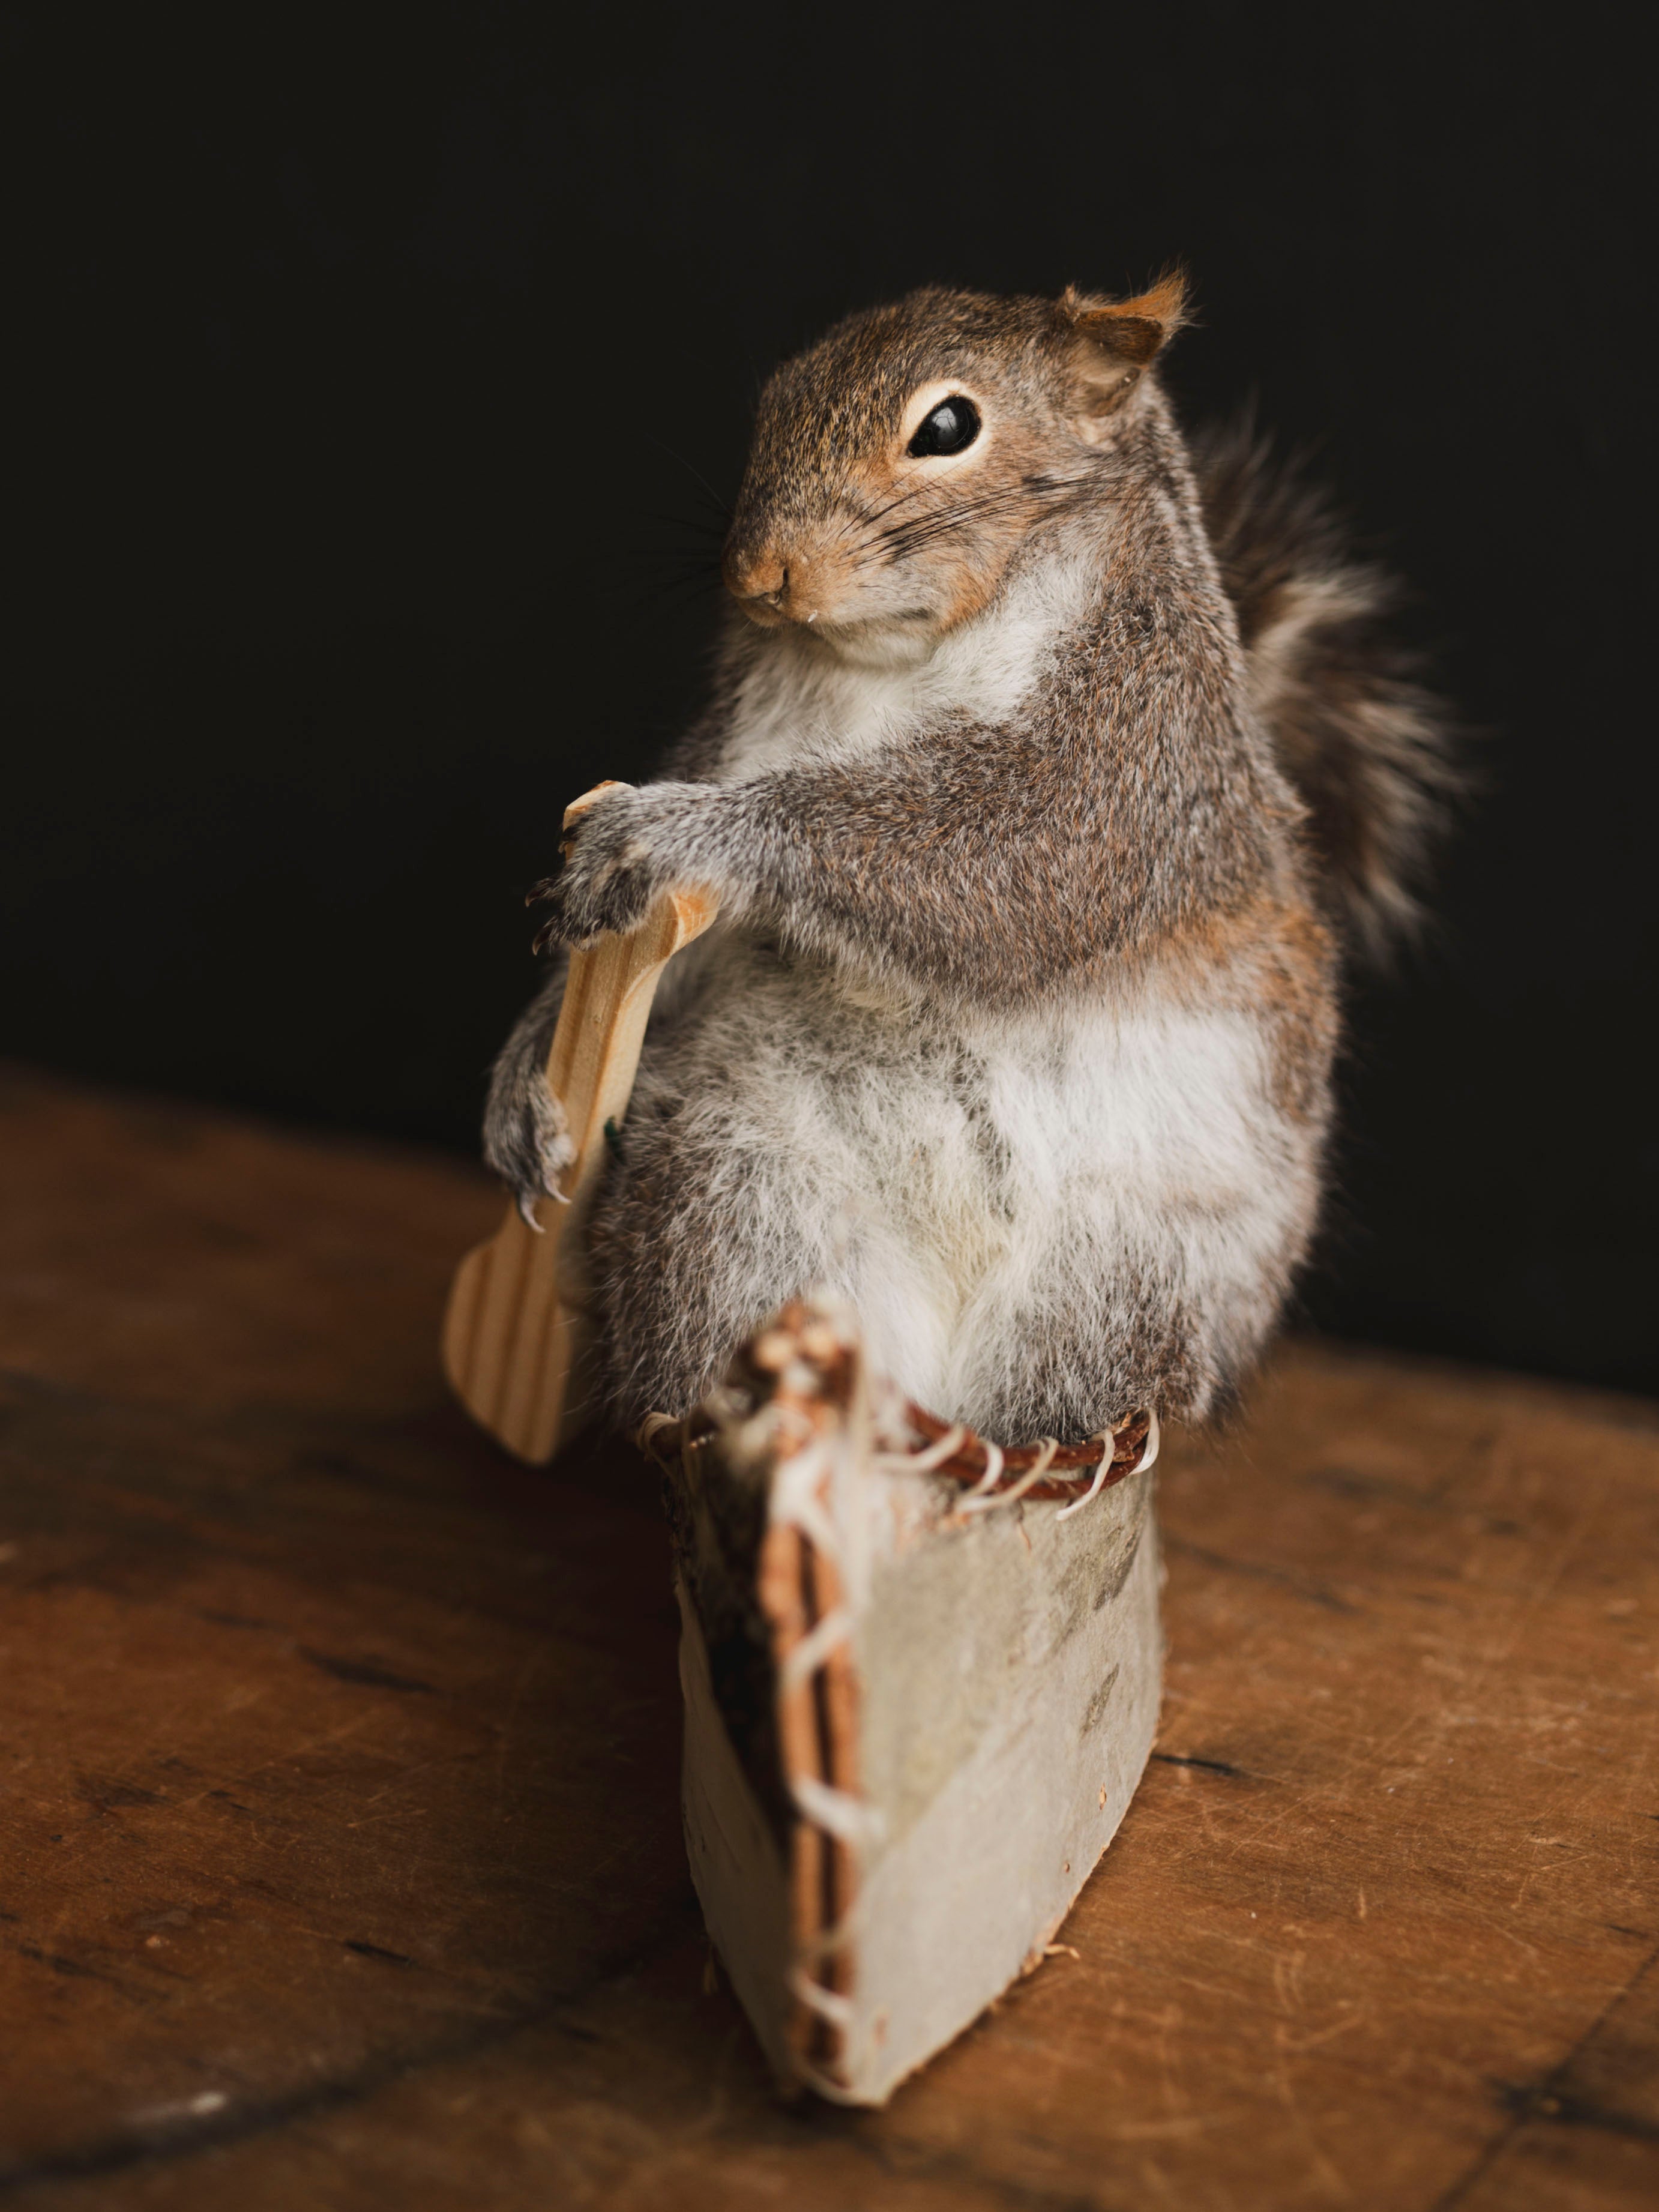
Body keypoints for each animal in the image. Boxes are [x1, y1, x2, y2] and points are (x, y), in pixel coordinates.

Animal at [483, 275, 1453, 1445]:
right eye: (776, 394)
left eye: (947, 428)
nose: (757, 574)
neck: (894, 657)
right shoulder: (739, 729)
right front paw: (524, 1074)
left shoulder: (1133, 750)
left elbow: (1008, 848)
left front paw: (677, 832)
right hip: (737, 1195)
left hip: (1124, 1280)